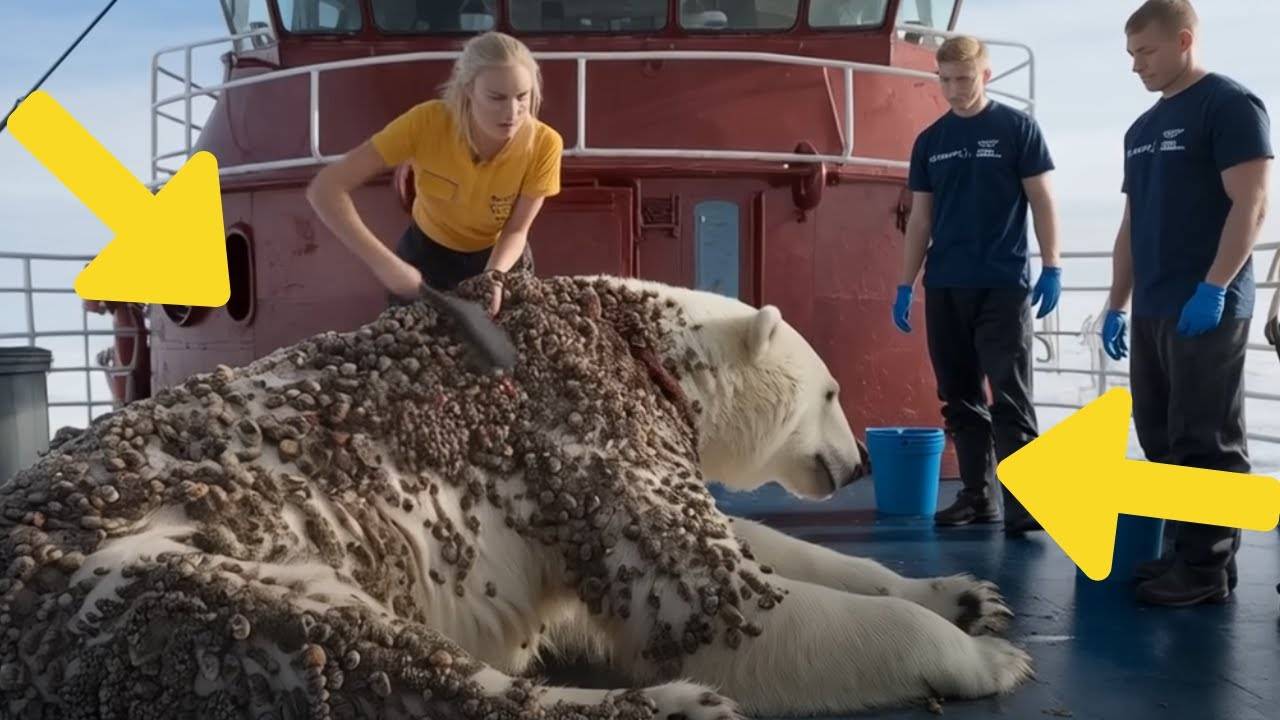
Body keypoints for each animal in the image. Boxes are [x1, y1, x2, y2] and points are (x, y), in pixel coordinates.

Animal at [0, 271, 1029, 712]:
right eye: (833, 393)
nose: (857, 465)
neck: (632, 340)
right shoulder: (580, 430)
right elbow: (724, 612)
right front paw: (985, 658)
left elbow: (754, 553)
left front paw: (965, 595)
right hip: (144, 578)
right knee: (341, 649)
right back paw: (668, 708)